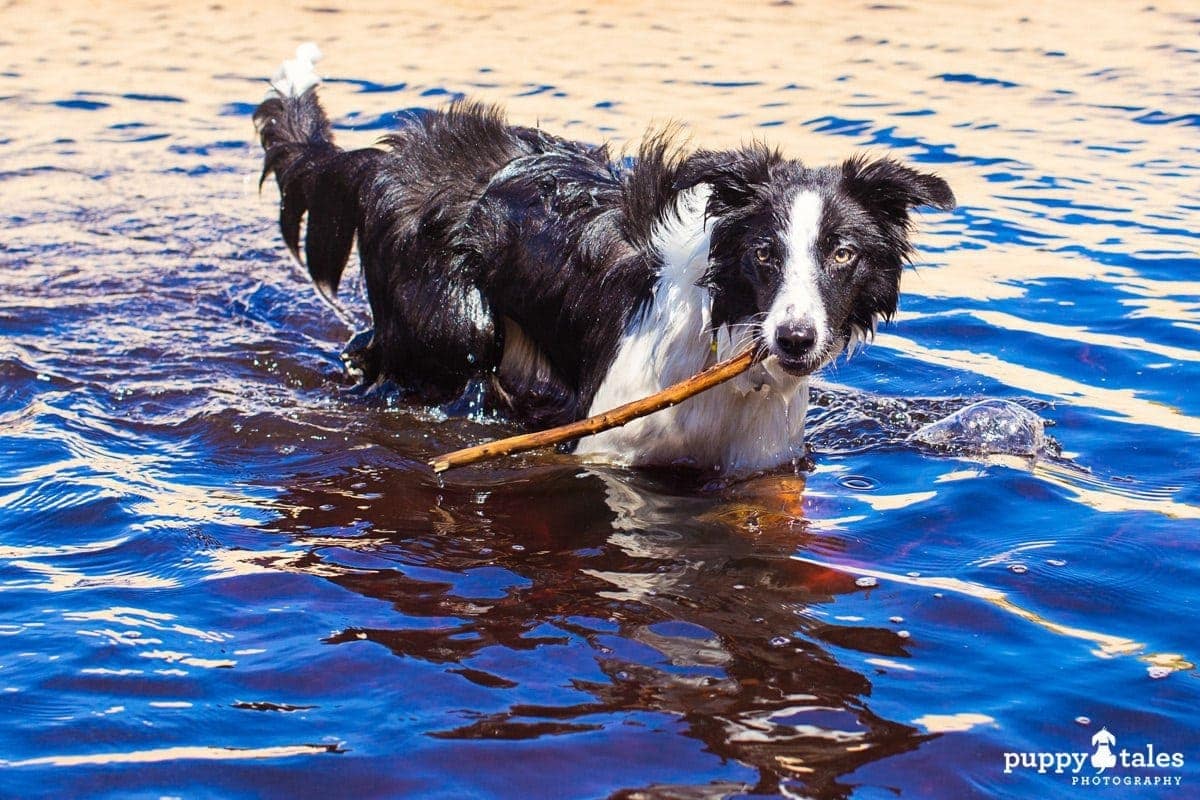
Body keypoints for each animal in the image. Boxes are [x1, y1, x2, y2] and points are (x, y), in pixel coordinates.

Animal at [255, 45, 955, 474]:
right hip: (452, 332)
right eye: (763, 253)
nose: (795, 338)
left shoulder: (763, 465)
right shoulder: (604, 447)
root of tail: (384, 157)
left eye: (842, 254)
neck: (723, 351)